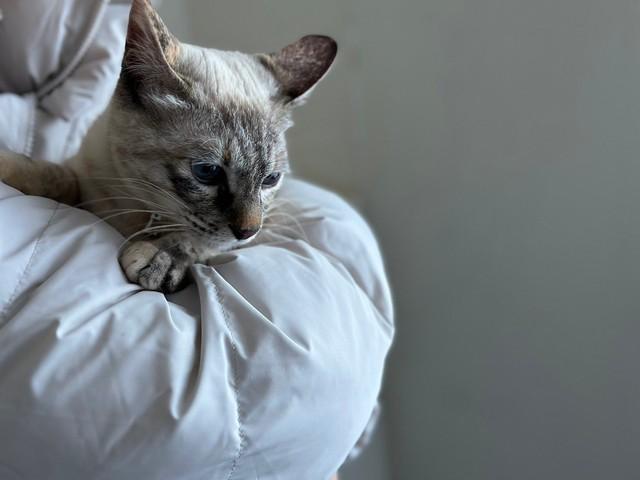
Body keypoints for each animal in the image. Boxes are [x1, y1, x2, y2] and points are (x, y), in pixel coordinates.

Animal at [0, 0, 338, 292]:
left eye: (270, 180)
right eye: (207, 172)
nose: (247, 231)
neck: (135, 211)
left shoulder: (241, 237)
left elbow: (197, 240)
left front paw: (161, 258)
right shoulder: (86, 179)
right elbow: (60, 178)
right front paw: (12, 168)